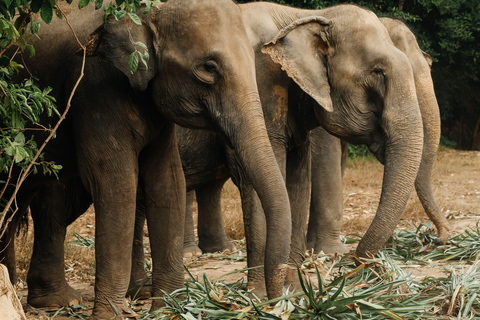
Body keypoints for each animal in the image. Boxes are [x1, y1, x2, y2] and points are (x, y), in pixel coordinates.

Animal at [0, 0, 292, 316]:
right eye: (208, 68)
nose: (274, 303)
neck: (144, 12)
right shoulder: (95, 88)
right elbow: (117, 182)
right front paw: (111, 315)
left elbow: (168, 180)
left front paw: (169, 309)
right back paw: (53, 301)